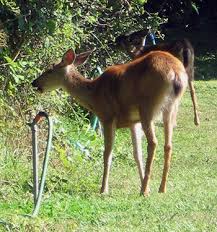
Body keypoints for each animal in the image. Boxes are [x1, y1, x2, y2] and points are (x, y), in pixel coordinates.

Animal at [31, 47, 188, 196]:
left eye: (49, 70)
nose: (34, 83)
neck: (94, 95)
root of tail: (175, 73)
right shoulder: (133, 122)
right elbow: (137, 154)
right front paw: (147, 186)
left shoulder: (107, 117)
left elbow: (107, 153)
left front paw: (104, 189)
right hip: (171, 108)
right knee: (168, 145)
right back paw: (161, 188)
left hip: (147, 107)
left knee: (153, 142)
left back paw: (143, 191)